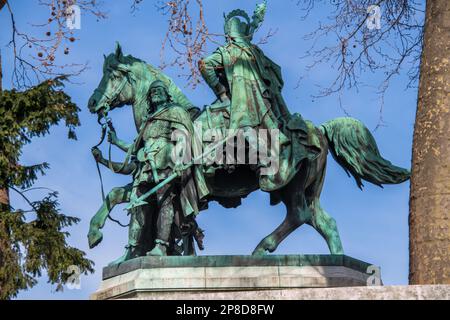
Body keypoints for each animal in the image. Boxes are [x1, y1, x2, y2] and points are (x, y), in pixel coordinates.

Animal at [86, 43, 410, 258]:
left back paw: (262, 248)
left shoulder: (171, 181)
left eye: (114, 75)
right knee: (322, 221)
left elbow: (123, 196)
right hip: (307, 189)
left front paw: (97, 232)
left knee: (300, 216)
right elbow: (118, 194)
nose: (92, 103)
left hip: (291, 185)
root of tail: (319, 129)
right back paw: (334, 260)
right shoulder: (150, 179)